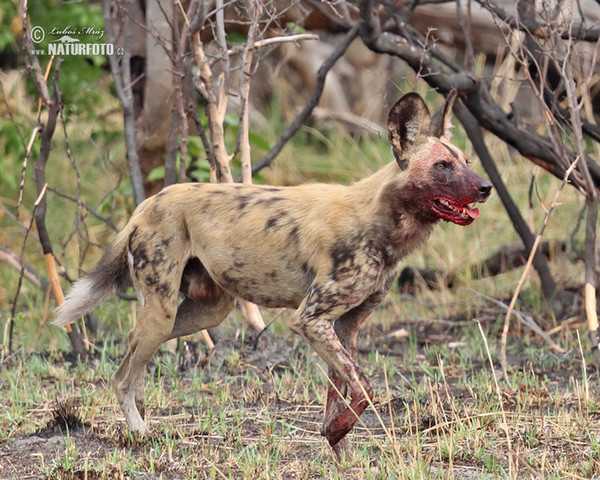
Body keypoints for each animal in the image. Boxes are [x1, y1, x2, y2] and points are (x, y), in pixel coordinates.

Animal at [52, 92, 492, 452]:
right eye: (441, 166)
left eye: (467, 162)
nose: (486, 186)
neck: (380, 222)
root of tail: (149, 202)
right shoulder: (311, 320)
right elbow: (364, 388)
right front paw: (339, 437)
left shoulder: (344, 326)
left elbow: (342, 394)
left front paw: (338, 445)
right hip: (162, 312)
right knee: (122, 376)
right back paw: (140, 434)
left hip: (203, 312)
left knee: (129, 358)